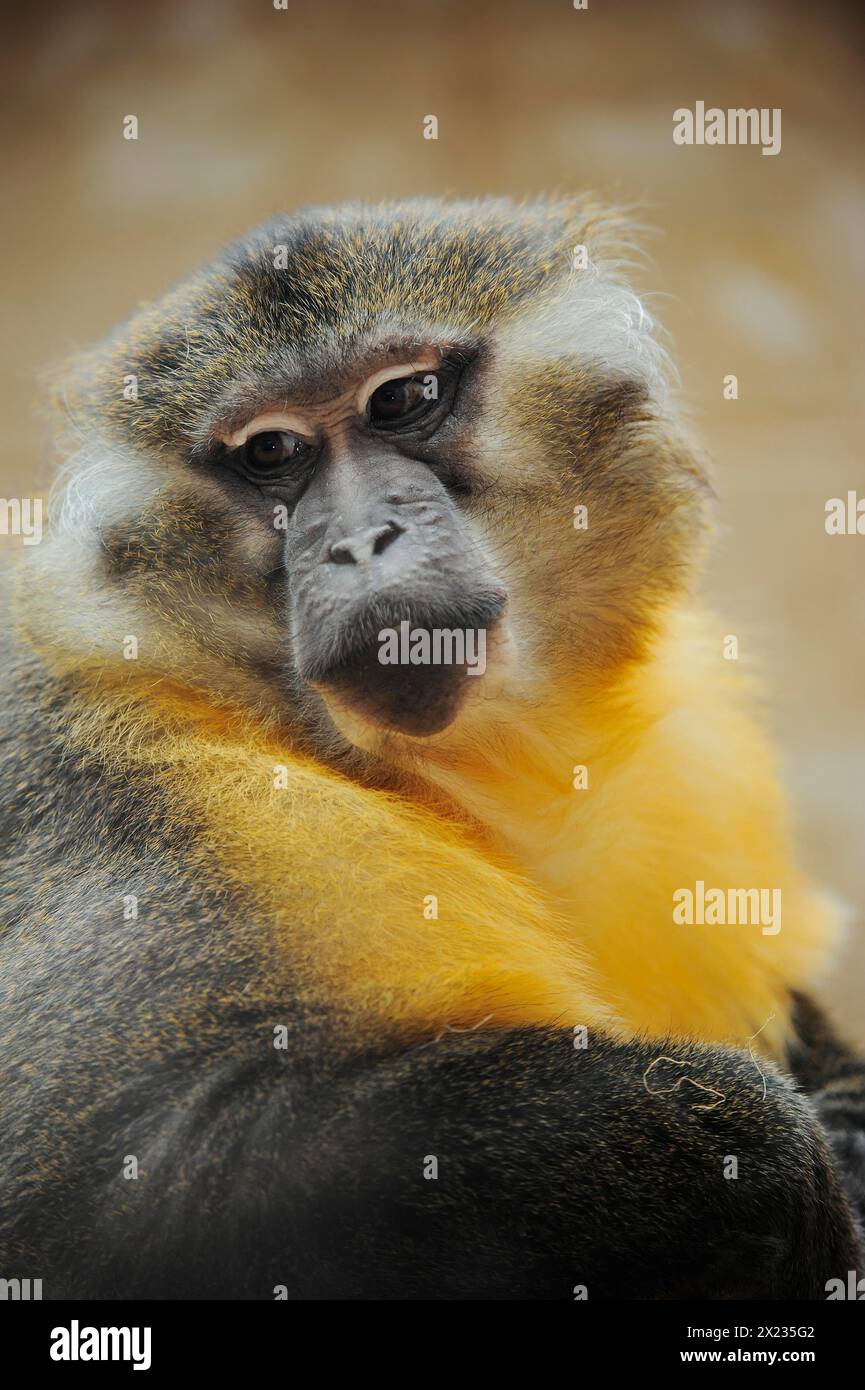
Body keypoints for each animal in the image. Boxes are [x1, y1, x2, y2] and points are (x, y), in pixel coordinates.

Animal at [0, 198, 862, 1301]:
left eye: (403, 399)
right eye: (272, 454)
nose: (360, 542)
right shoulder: (154, 810)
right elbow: (106, 1192)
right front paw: (763, 1153)